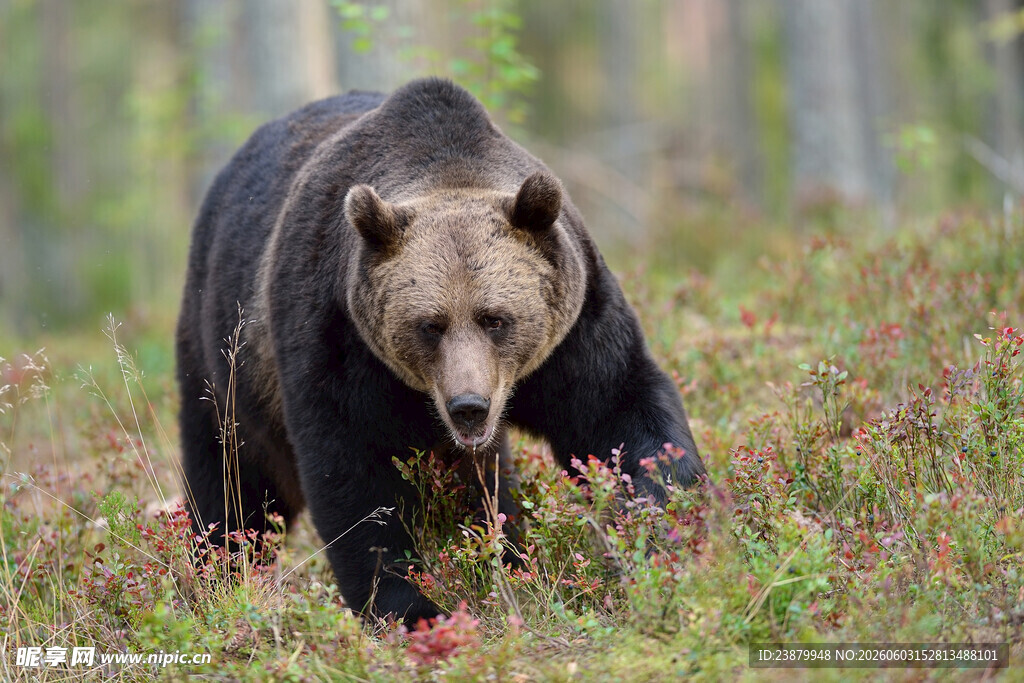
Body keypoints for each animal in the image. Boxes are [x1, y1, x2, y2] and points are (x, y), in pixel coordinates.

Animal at [176, 78, 704, 625]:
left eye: (495, 318)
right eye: (430, 325)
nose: (469, 406)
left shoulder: (574, 330)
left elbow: (620, 413)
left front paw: (663, 532)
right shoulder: (339, 338)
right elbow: (355, 475)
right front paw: (411, 607)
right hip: (227, 354)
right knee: (231, 475)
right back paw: (216, 572)